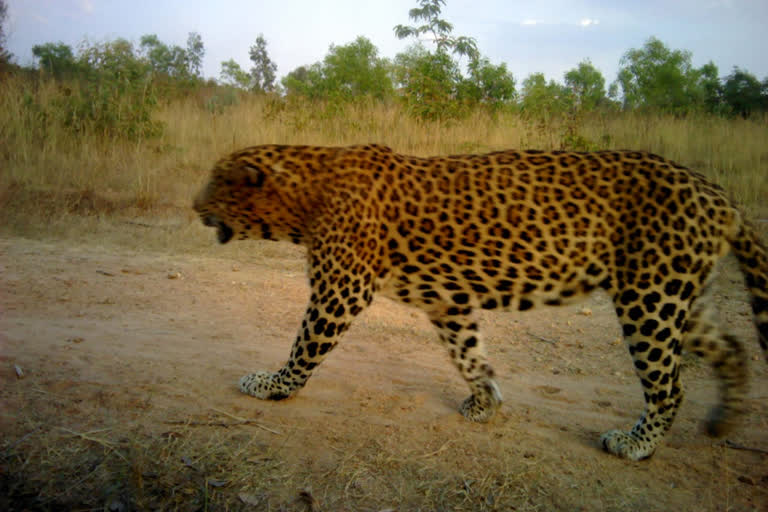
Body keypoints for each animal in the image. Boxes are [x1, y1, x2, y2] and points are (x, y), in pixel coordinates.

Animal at [194, 143, 768, 460]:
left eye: (215, 183)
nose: (192, 203)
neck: (303, 197)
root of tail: (721, 196)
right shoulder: (446, 300)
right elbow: (469, 355)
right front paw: (485, 402)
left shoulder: (341, 289)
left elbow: (302, 347)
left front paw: (270, 386)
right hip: (681, 296)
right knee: (733, 348)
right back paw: (724, 421)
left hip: (649, 297)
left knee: (669, 385)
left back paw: (637, 444)